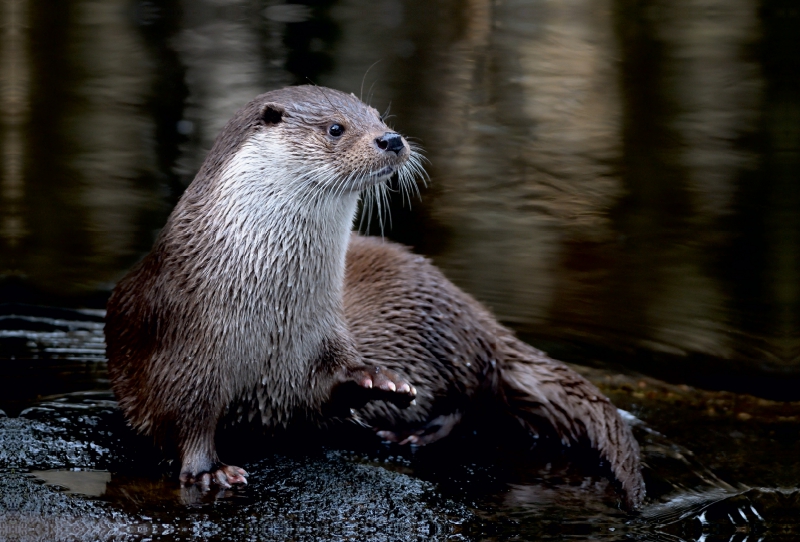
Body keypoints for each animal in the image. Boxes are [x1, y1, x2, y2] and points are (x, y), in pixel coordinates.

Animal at [104, 87, 644, 512]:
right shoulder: (184, 349)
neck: (266, 309)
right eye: (336, 128)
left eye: (379, 117)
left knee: (475, 397)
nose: (392, 139)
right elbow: (185, 420)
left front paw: (377, 379)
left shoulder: (320, 339)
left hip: (449, 337)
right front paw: (209, 470)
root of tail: (474, 312)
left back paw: (413, 433)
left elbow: (323, 390)